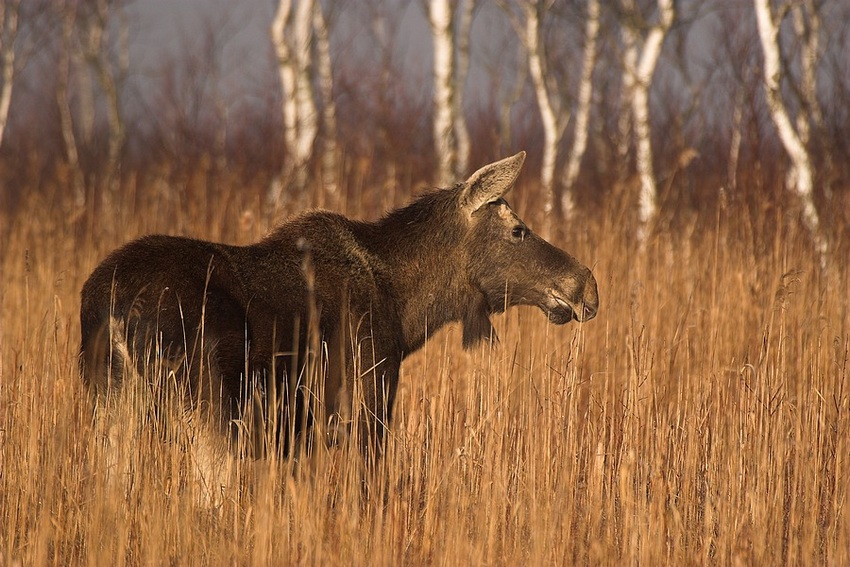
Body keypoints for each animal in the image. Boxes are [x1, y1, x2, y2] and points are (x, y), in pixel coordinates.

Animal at [79, 153, 596, 460]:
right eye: (518, 230)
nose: (586, 284)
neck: (406, 309)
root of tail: (113, 305)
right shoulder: (365, 395)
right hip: (208, 407)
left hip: (114, 408)